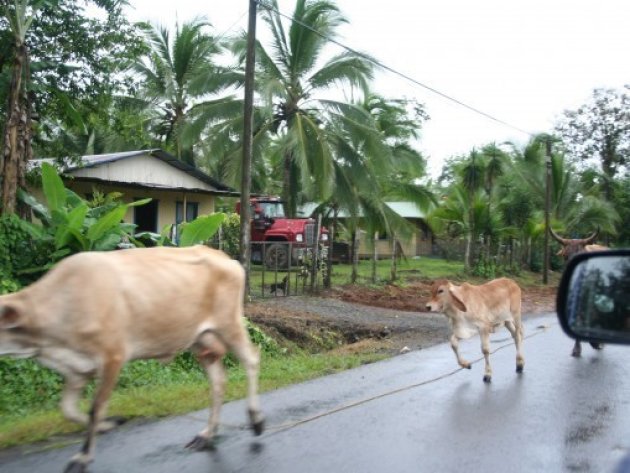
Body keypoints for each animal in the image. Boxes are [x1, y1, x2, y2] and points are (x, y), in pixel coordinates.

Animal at [0, 245, 266, 472]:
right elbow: (69, 409)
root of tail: (223, 256)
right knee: (218, 381)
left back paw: (256, 420)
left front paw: (83, 457)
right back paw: (206, 435)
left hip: (229, 324)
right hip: (201, 340)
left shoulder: (112, 357)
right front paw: (109, 424)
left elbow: (95, 409)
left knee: (251, 359)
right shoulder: (77, 369)